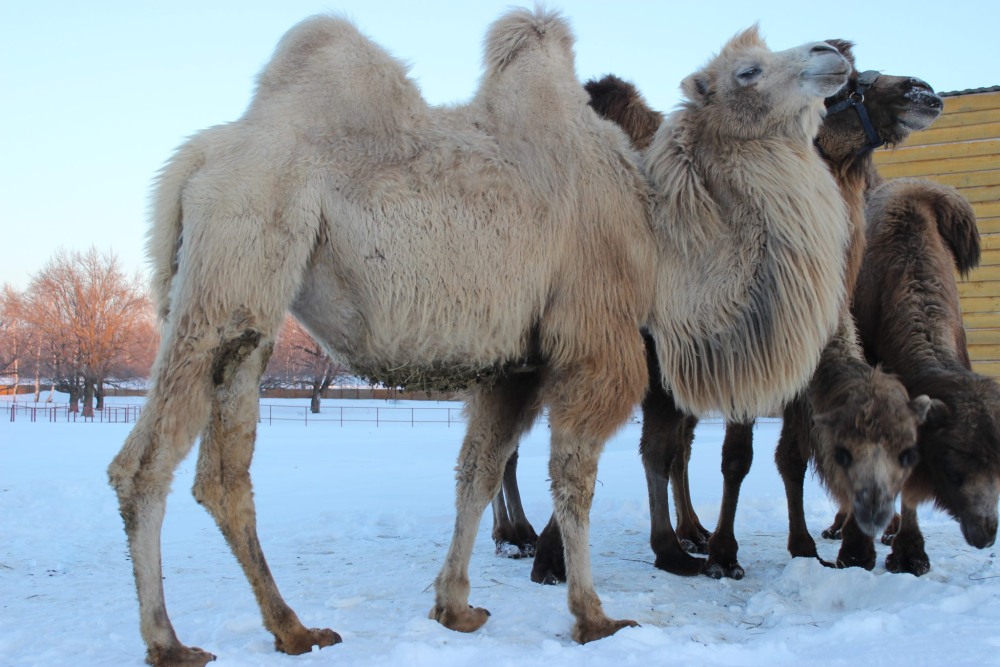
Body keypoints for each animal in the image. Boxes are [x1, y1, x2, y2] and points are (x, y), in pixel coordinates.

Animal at [107, 11, 851, 666]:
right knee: (143, 465)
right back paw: (170, 642)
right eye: (749, 70)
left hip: (244, 315)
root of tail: (198, 158)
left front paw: (454, 605)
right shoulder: (596, 342)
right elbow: (573, 475)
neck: (658, 249)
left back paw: (292, 629)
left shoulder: (516, 365)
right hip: (232, 271)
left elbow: (479, 469)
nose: (836, 48)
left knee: (221, 472)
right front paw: (593, 615)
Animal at [526, 41, 944, 584]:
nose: (922, 90)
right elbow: (722, 455)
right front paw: (719, 554)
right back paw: (523, 539)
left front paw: (807, 547)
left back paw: (689, 532)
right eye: (845, 90)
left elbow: (785, 454)